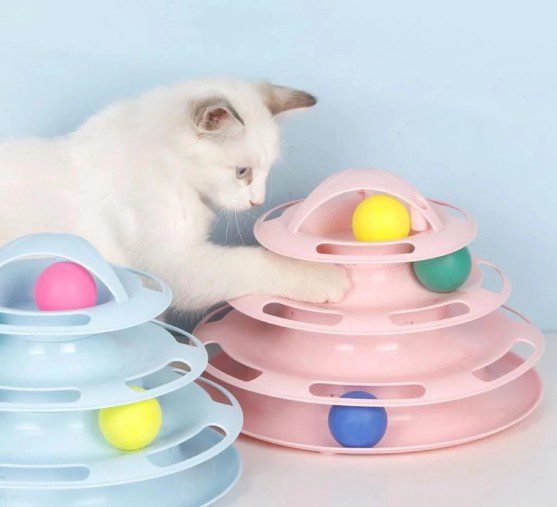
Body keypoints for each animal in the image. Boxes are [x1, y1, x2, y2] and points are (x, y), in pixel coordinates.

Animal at [0, 78, 349, 313]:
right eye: (242, 171)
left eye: (267, 171)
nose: (258, 201)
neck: (172, 170)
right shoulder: (175, 266)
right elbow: (255, 263)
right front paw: (325, 277)